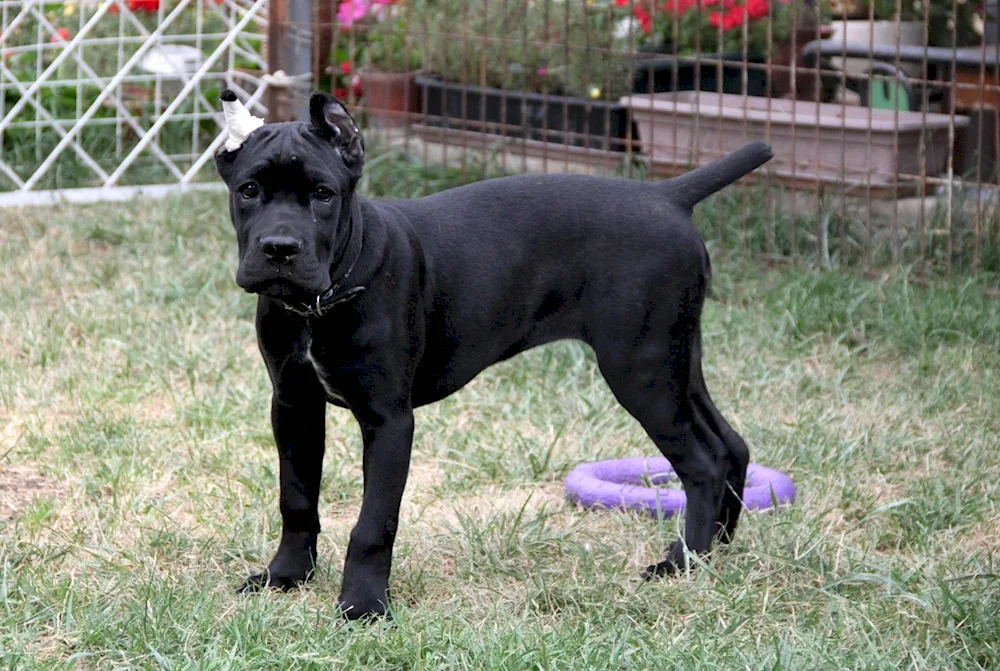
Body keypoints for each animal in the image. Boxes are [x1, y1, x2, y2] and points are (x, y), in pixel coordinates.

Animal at [213, 89, 772, 620]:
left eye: (324, 195)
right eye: (249, 190)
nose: (279, 248)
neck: (321, 302)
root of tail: (667, 195)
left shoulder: (388, 421)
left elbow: (374, 523)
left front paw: (363, 606)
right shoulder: (294, 405)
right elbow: (296, 497)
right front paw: (286, 576)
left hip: (641, 368)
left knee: (703, 463)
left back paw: (682, 562)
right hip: (675, 360)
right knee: (730, 443)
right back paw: (717, 550)